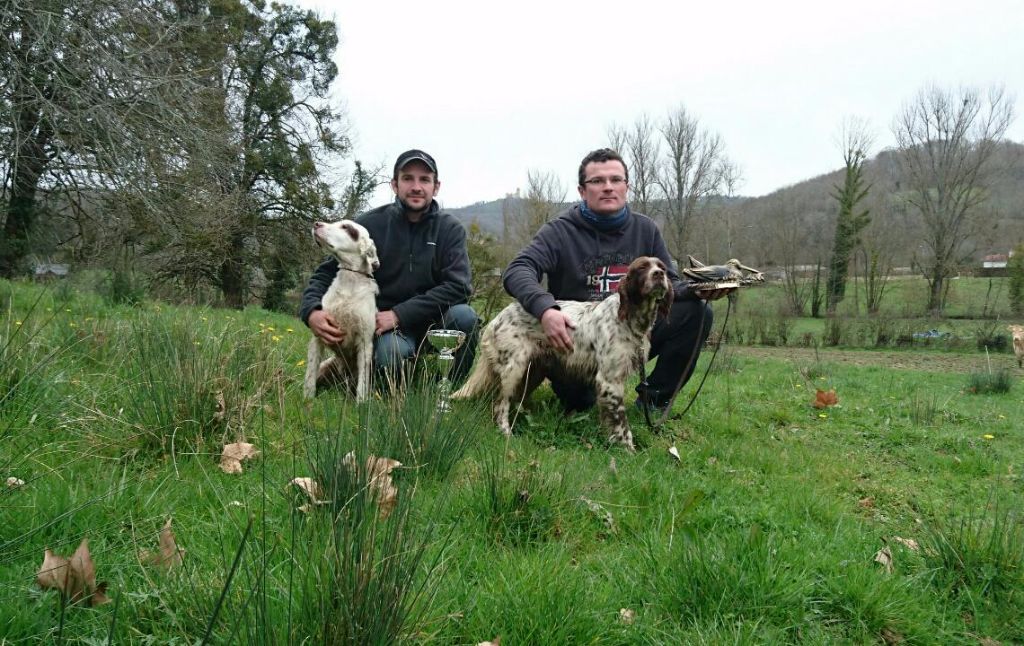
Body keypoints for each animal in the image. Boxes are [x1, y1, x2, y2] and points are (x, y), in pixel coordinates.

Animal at [305, 223, 382, 405]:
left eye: (347, 227)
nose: (316, 223)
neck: (349, 282)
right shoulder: (318, 335)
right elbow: (310, 374)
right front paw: (307, 399)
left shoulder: (365, 342)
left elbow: (363, 382)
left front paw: (361, 403)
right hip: (326, 365)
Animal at [454, 256, 671, 450]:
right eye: (643, 267)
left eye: (662, 267)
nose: (659, 274)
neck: (630, 318)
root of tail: (497, 318)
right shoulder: (610, 380)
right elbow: (621, 424)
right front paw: (628, 450)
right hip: (514, 369)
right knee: (500, 405)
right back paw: (507, 433)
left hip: (531, 371)